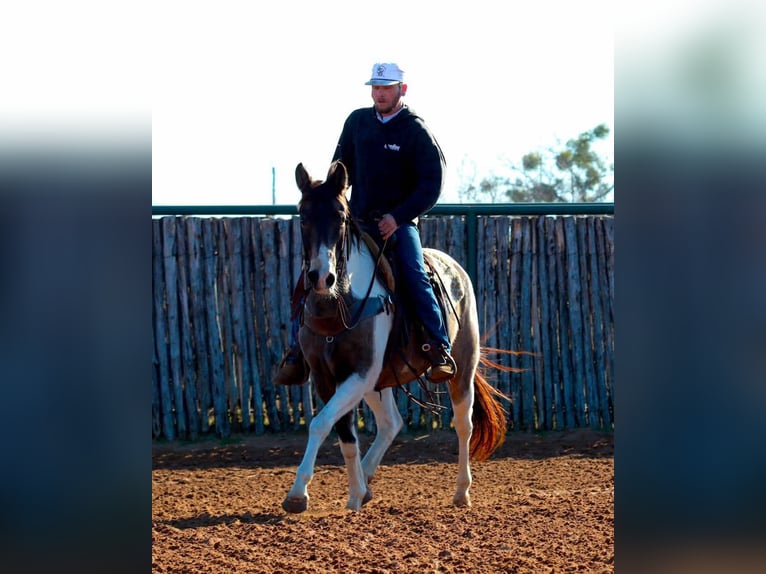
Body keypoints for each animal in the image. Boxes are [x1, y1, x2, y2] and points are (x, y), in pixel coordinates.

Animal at [282, 160, 513, 513]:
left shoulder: (360, 373)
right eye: (304, 216)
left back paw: (462, 491)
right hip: (380, 379)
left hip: (462, 365)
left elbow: (320, 423)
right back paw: (365, 483)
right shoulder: (328, 376)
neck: (339, 302)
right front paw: (353, 495)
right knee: (391, 423)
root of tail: (455, 268)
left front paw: (298, 494)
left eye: (340, 216)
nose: (321, 277)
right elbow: (344, 435)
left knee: (464, 425)